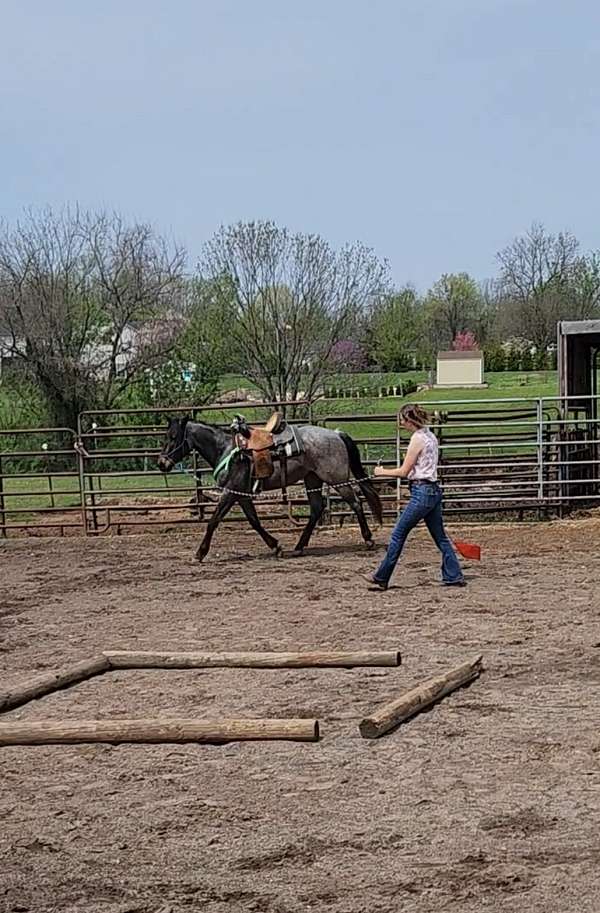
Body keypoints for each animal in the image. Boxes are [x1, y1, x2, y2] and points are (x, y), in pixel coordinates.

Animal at [157, 416, 383, 562]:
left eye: (173, 436)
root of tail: (336, 434)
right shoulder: (242, 495)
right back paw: (299, 547)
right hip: (313, 479)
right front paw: (276, 547)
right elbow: (254, 521)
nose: (161, 463)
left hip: (335, 478)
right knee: (317, 509)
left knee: (356, 502)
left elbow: (213, 521)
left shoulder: (230, 492)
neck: (226, 449)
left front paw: (200, 553)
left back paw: (368, 539)